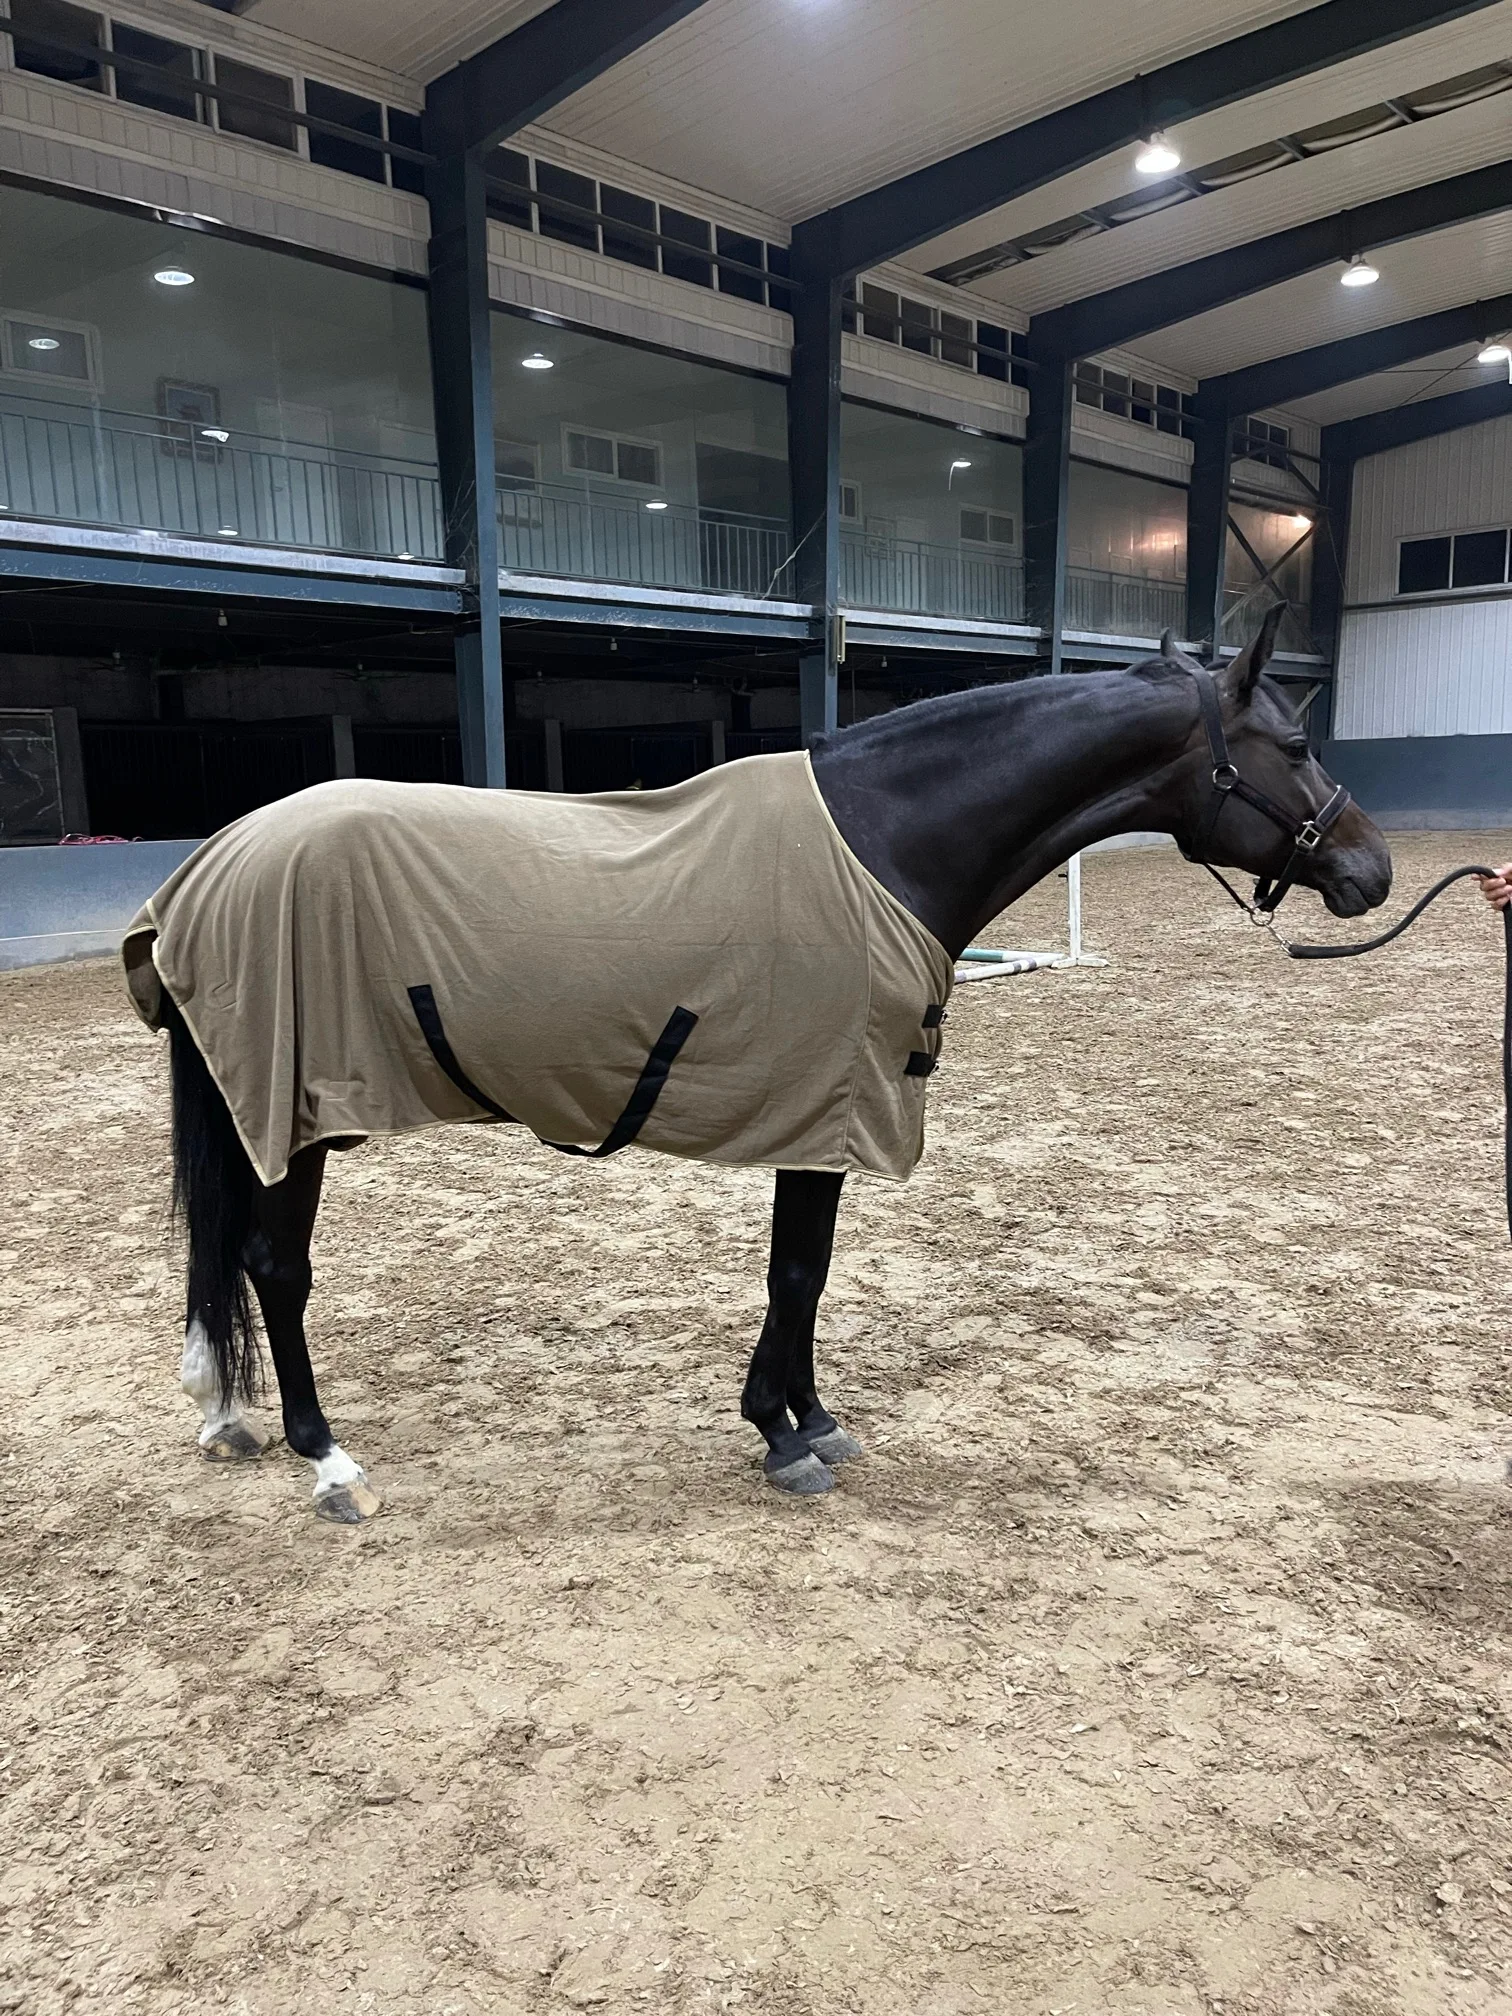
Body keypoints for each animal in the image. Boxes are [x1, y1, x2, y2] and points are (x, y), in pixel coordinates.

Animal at [137, 611, 1391, 1521]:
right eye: (1294, 744)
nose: (1371, 871)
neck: (882, 842)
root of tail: (215, 862)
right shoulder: (827, 1110)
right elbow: (800, 1274)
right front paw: (783, 1436)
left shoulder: (819, 1115)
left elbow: (810, 1276)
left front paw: (812, 1417)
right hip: (294, 1111)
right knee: (273, 1265)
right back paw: (326, 1459)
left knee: (223, 1254)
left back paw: (224, 1415)